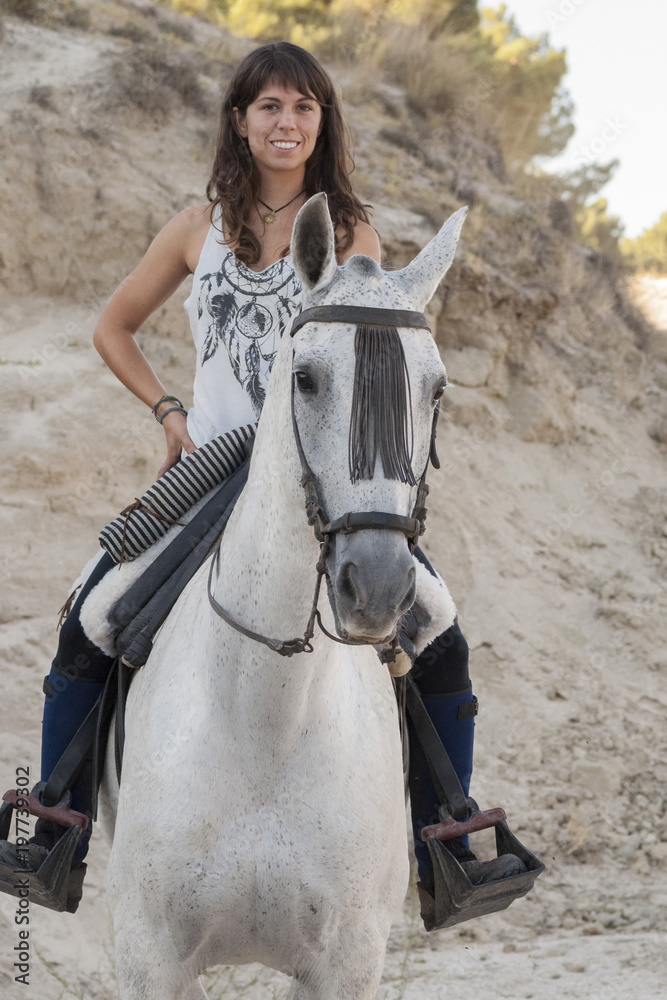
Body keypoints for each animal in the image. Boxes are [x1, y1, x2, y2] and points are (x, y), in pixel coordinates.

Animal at [99, 193, 468, 1000]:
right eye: (304, 378)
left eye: (436, 389)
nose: (377, 587)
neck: (268, 716)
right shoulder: (148, 957)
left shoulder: (346, 964)